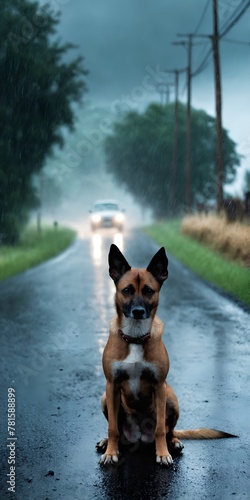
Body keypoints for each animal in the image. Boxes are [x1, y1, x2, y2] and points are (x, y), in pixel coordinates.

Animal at [98, 244, 236, 466]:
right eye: (127, 290)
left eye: (148, 291)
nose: (138, 311)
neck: (135, 337)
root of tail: (138, 437)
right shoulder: (111, 385)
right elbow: (112, 428)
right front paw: (111, 452)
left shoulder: (159, 385)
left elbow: (160, 428)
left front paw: (162, 453)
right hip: (105, 398)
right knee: (118, 430)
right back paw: (107, 442)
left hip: (171, 397)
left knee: (169, 430)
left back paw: (174, 442)